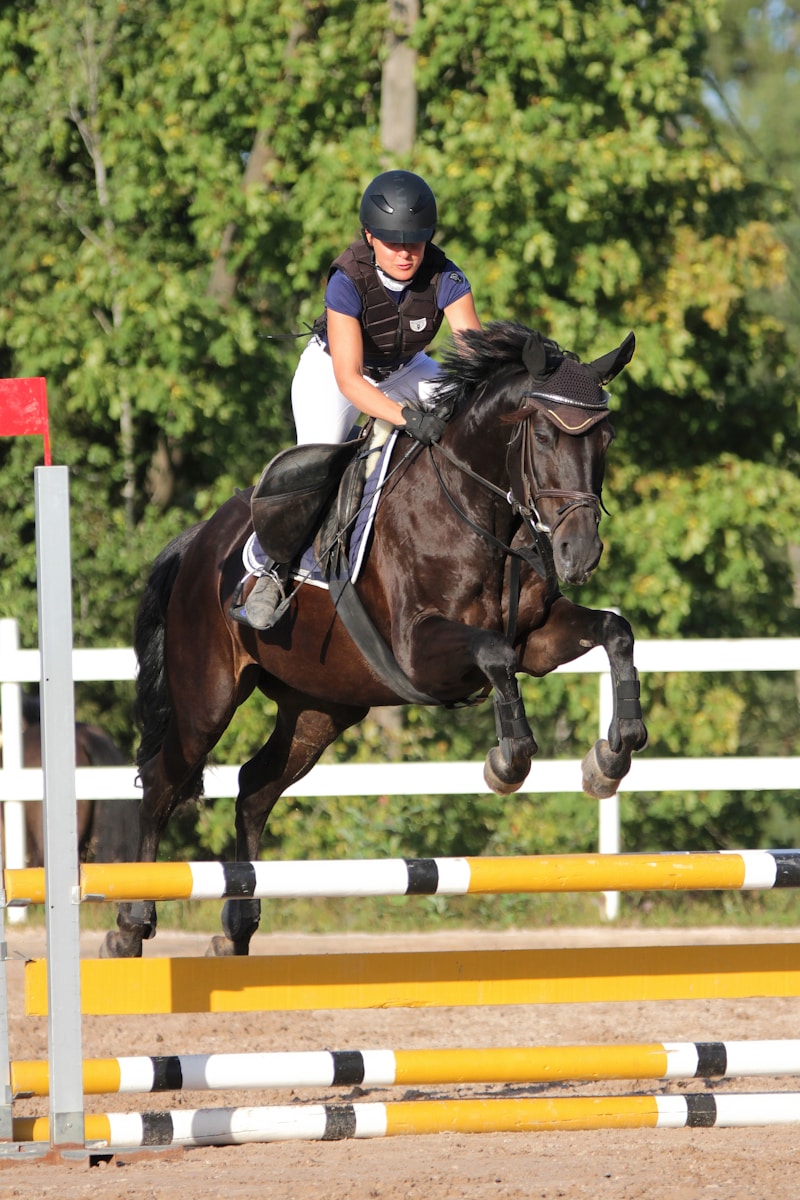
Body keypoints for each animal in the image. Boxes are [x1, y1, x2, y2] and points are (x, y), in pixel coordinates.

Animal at [101, 321, 648, 959]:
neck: (481, 514)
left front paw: (611, 756)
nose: (578, 553)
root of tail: (198, 542)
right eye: (542, 434)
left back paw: (237, 926)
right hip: (206, 699)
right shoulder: (419, 654)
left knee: (255, 788)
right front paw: (508, 762)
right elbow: (494, 656)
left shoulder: (537, 639)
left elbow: (614, 631)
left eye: (605, 437)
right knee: (163, 780)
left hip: (321, 707)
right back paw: (131, 924)